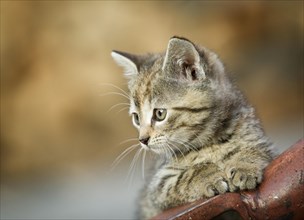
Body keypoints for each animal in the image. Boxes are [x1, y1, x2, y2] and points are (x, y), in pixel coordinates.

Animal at [111, 37, 274, 219]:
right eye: (137, 118)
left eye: (160, 114)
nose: (143, 140)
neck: (210, 143)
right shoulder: (157, 187)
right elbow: (185, 176)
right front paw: (208, 176)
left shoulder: (257, 137)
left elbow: (253, 148)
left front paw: (244, 165)